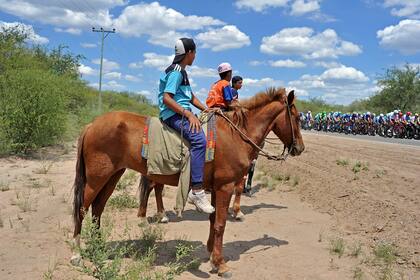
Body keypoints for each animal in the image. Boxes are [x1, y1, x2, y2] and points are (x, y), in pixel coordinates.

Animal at [71, 88, 302, 276]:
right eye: (298, 117)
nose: (300, 148)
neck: (236, 134)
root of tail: (92, 124)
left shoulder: (216, 188)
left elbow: (213, 220)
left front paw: (212, 255)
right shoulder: (226, 187)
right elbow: (220, 224)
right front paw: (221, 264)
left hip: (113, 175)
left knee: (98, 208)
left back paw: (99, 245)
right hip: (97, 178)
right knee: (82, 208)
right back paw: (77, 253)